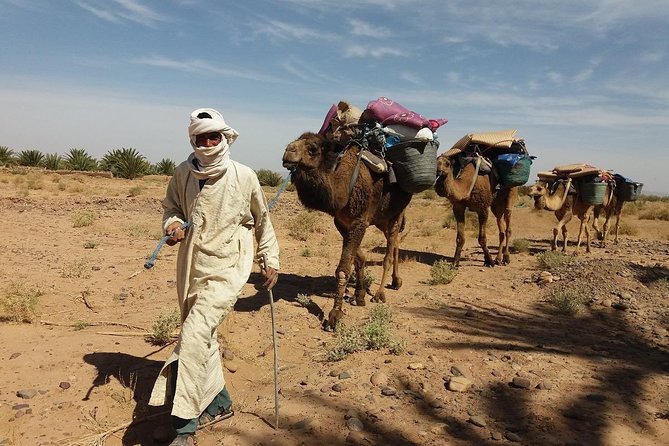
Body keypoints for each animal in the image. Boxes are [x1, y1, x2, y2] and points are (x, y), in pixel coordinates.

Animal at [282, 131, 412, 330]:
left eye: (312, 148)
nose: (288, 152)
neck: (341, 186)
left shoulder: (359, 222)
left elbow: (343, 269)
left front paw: (335, 315)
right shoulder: (342, 223)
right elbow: (359, 259)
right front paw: (359, 295)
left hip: (396, 214)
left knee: (390, 251)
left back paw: (380, 294)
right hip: (382, 219)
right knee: (395, 243)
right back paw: (396, 281)